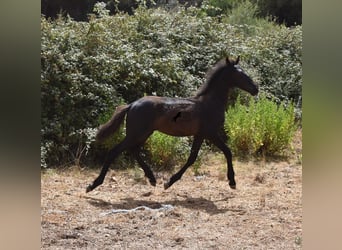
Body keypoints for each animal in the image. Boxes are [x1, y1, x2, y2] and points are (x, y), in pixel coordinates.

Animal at [87, 57, 258, 193]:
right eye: (240, 74)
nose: (255, 89)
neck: (210, 104)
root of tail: (131, 105)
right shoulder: (210, 133)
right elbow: (226, 152)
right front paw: (232, 182)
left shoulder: (200, 134)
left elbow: (192, 158)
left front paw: (168, 182)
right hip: (137, 133)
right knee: (115, 151)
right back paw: (93, 185)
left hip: (143, 133)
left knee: (134, 150)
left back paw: (152, 179)